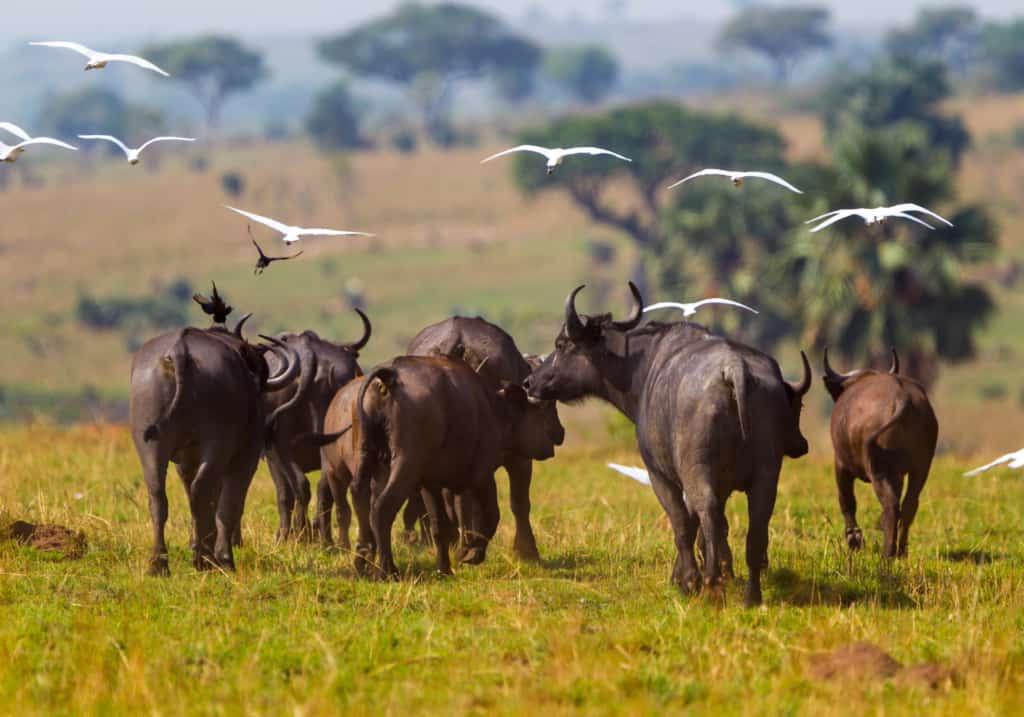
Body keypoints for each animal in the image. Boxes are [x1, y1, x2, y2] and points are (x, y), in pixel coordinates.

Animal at [130, 315, 303, 573]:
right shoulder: (245, 459)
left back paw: (160, 564)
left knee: (159, 497)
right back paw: (208, 559)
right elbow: (230, 506)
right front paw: (222, 555)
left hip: (149, 446)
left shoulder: (186, 462)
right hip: (217, 445)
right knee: (202, 492)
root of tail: (180, 352)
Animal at [524, 280, 811, 606]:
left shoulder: (660, 475)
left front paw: (686, 580)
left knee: (707, 514)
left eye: (561, 344)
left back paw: (710, 584)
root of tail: (734, 369)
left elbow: (683, 523)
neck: (643, 367)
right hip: (766, 476)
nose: (530, 382)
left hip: (697, 472)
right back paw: (751, 595)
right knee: (755, 527)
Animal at [823, 350, 937, 557]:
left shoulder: (841, 464)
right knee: (909, 504)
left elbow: (846, 500)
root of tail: (902, 397)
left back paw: (887, 552)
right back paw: (901, 550)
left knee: (891, 505)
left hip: (878, 470)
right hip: (921, 468)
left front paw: (854, 539)